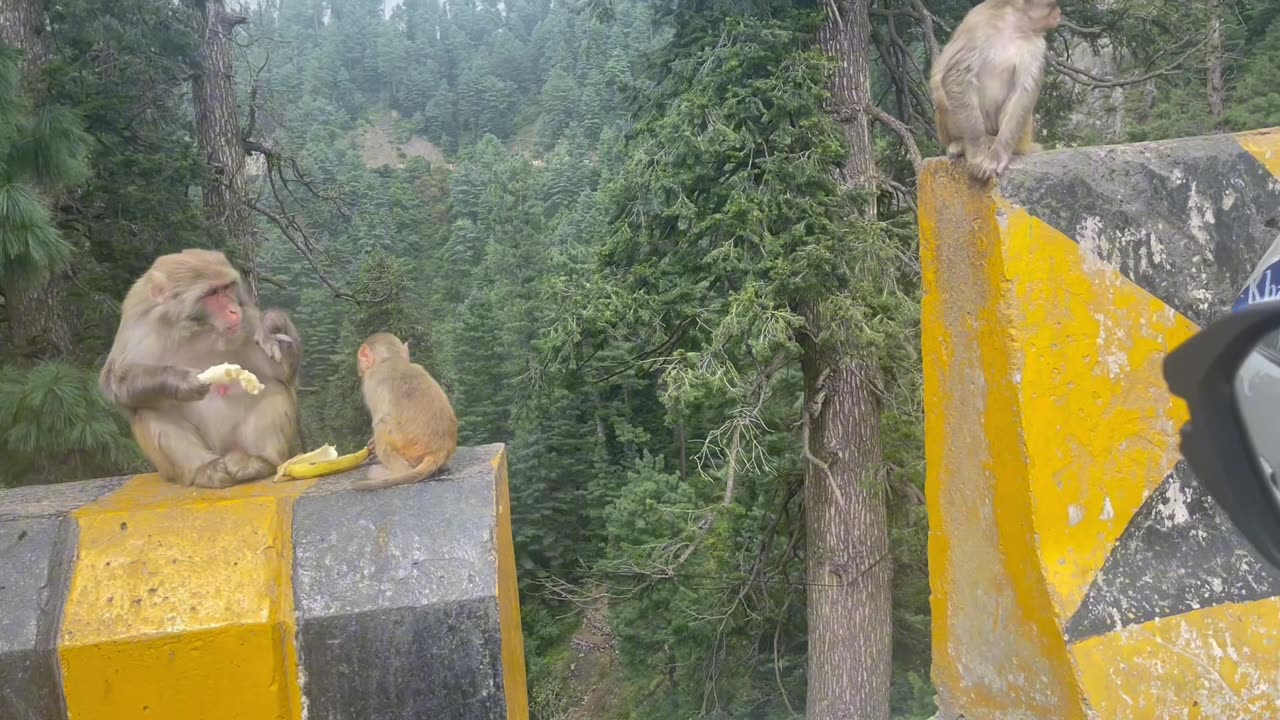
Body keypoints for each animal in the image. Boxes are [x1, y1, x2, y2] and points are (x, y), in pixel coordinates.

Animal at [101, 248, 303, 486]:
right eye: (212, 293)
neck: (196, 329)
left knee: (273, 388)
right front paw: (180, 381)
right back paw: (204, 469)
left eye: (227, 288)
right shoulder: (138, 325)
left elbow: (280, 373)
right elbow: (116, 381)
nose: (233, 310)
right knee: (148, 409)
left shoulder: (246, 323)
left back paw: (256, 460)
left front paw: (272, 326)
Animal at [355, 330, 460, 486]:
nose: (360, 369)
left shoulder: (371, 383)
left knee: (383, 423)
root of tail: (439, 450)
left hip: (409, 447)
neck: (391, 359)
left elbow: (378, 420)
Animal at [931, 0, 1059, 181]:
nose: (1059, 13)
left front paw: (998, 155)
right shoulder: (977, 23)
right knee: (942, 97)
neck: (1014, 24)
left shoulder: (1037, 44)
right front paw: (977, 154)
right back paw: (960, 143)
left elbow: (1023, 92)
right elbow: (955, 76)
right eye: (1052, 5)